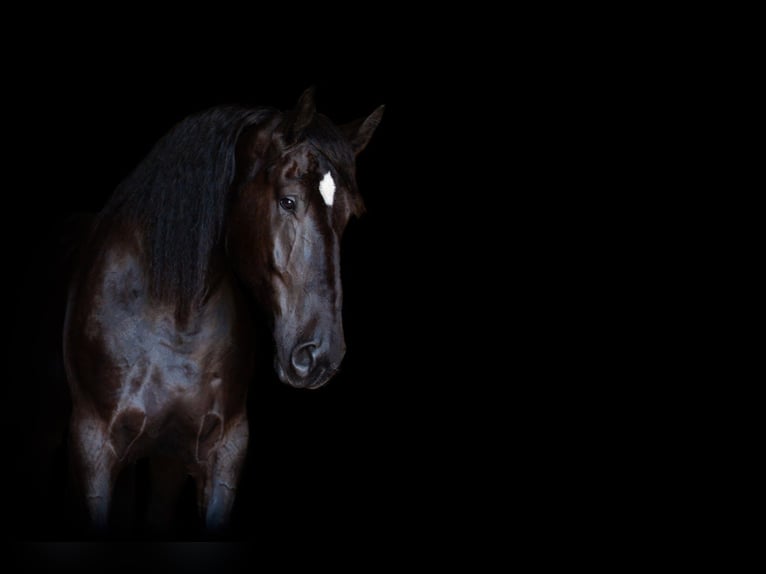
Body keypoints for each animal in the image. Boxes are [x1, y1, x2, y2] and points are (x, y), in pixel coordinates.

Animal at [61, 88, 384, 532]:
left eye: (349, 215)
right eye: (288, 200)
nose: (318, 357)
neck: (174, 317)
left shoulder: (220, 453)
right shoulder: (93, 449)